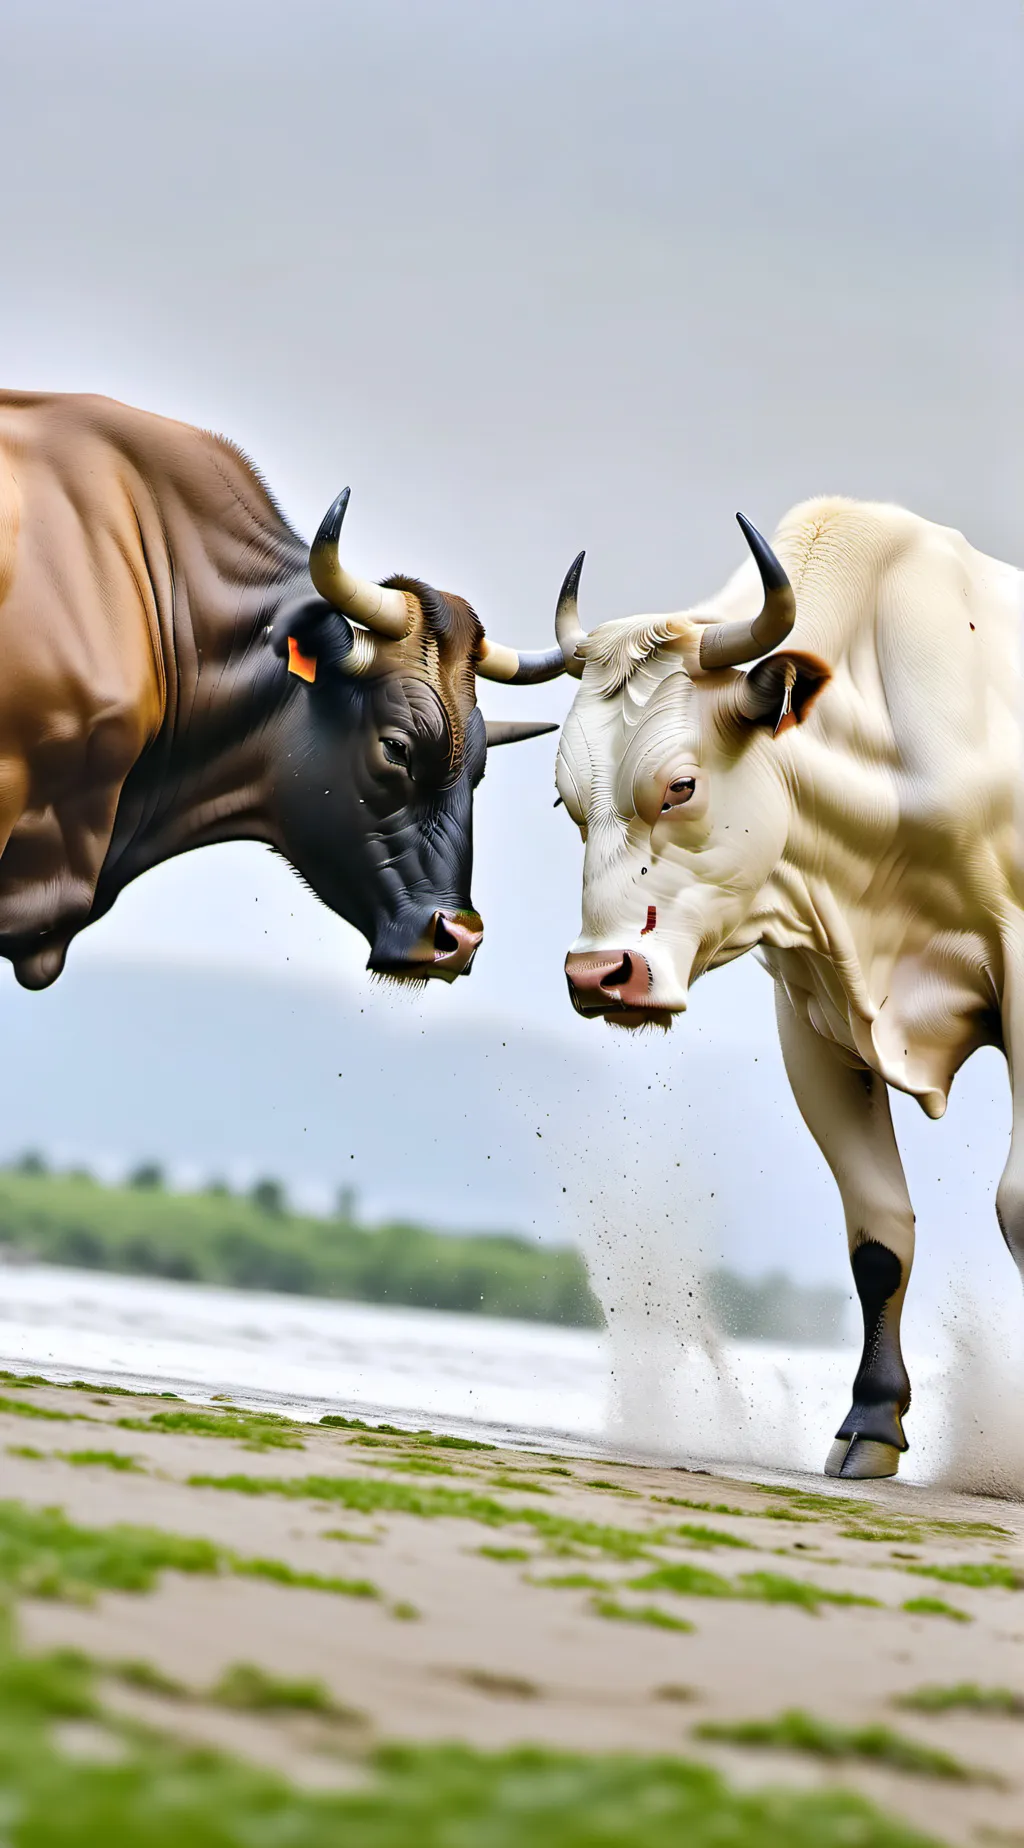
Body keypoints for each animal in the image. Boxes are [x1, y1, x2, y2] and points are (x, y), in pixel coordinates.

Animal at [551, 497, 1024, 1478]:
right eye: (567, 802)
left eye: (679, 786)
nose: (597, 974)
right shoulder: (813, 1017)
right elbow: (879, 1232)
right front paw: (871, 1420)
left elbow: (1019, 1207)